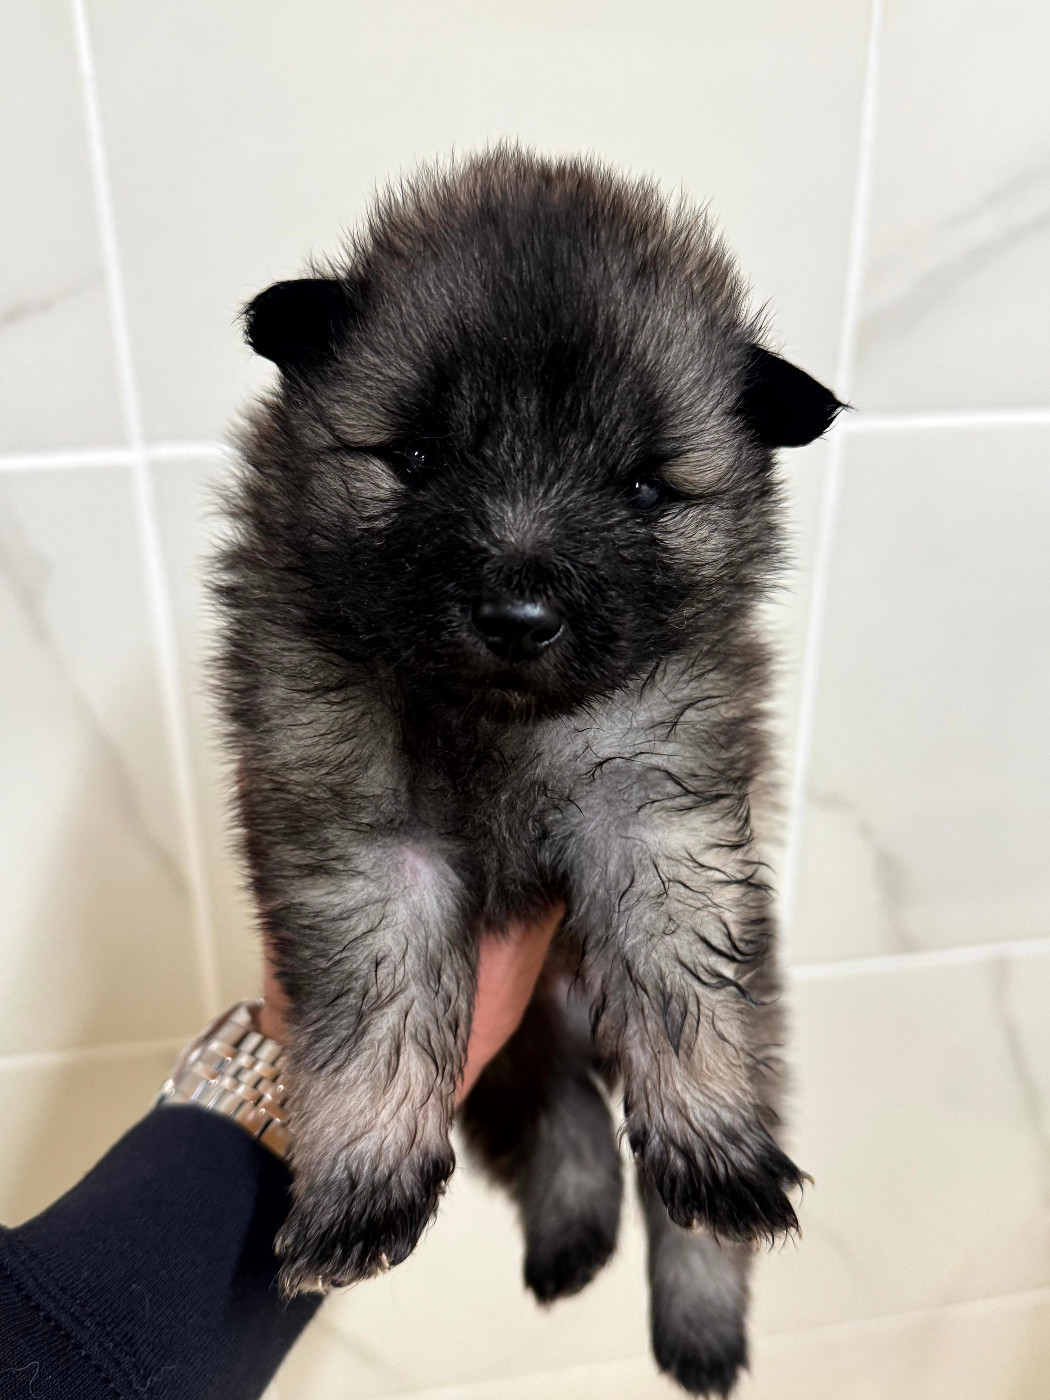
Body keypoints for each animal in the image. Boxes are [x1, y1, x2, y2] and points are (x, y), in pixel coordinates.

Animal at [215, 148, 841, 1395]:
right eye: (417, 456)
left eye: (642, 486)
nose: (518, 616)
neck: (500, 722)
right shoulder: (372, 847)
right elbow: (376, 1011)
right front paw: (359, 1190)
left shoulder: (659, 806)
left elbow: (687, 988)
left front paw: (716, 1145)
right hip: (513, 1058)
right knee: (569, 1124)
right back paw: (570, 1240)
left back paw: (700, 1323)